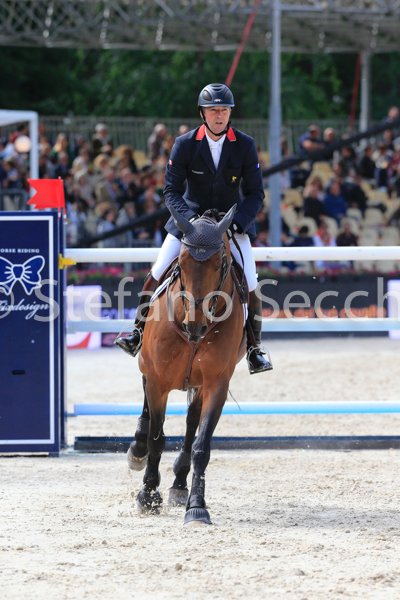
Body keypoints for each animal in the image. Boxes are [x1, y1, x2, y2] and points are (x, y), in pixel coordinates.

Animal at [128, 205, 246, 525]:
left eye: (220, 263)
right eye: (180, 262)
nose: (195, 325)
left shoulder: (216, 384)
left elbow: (201, 445)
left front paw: (197, 506)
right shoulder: (157, 381)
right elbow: (157, 438)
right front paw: (148, 496)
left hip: (198, 384)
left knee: (191, 422)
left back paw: (180, 484)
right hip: (148, 368)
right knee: (147, 411)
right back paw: (137, 450)